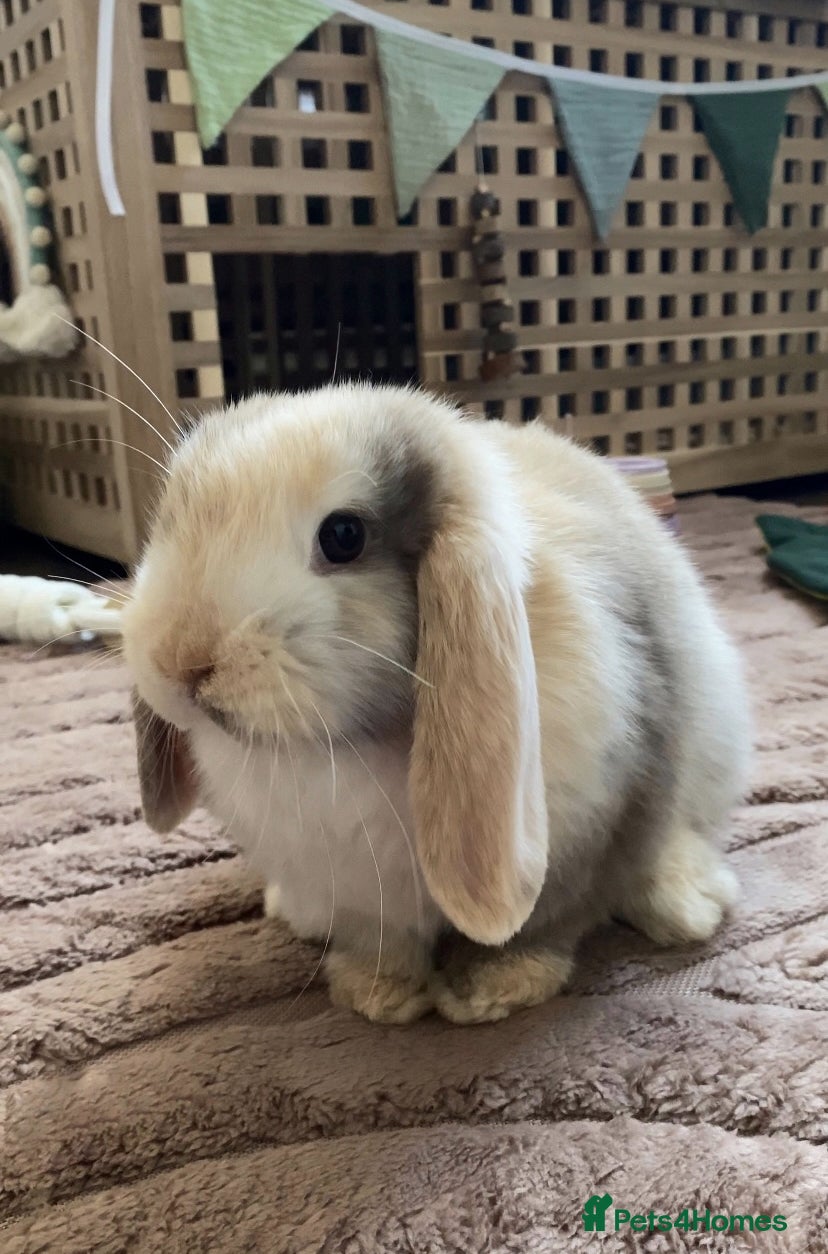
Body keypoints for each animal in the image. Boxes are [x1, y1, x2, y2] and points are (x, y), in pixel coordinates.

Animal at [122, 383, 751, 1025]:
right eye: (172, 514)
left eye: (344, 536)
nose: (181, 661)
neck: (346, 747)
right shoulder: (353, 891)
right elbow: (381, 941)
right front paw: (376, 995)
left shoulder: (593, 833)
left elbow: (542, 926)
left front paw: (491, 990)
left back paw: (687, 906)